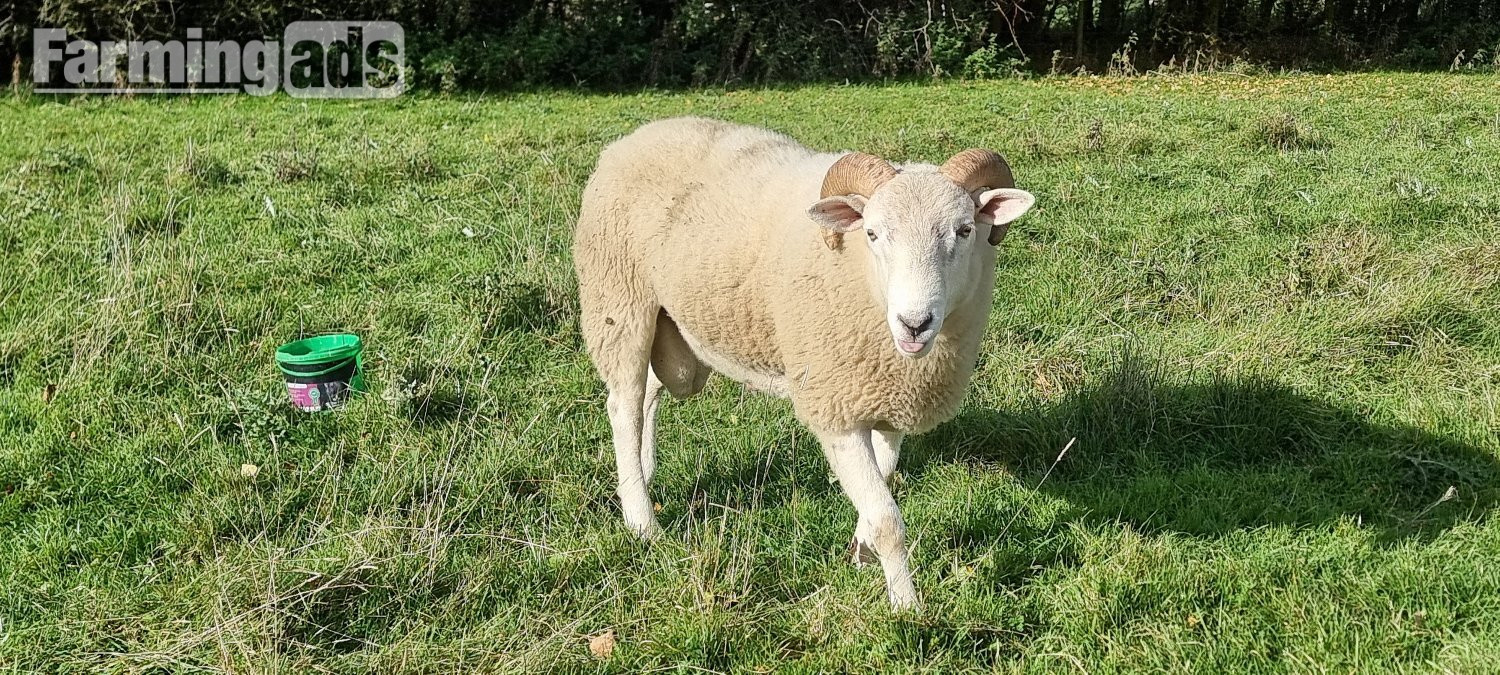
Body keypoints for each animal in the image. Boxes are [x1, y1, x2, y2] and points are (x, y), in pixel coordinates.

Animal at [572, 116, 1036, 610]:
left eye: (965, 230)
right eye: (873, 234)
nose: (915, 324)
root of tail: (633, 138)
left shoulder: (890, 398)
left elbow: (884, 481)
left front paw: (861, 550)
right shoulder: (835, 407)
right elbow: (888, 520)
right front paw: (907, 606)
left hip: (673, 330)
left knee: (650, 396)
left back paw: (641, 475)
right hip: (619, 303)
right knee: (624, 406)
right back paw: (642, 521)